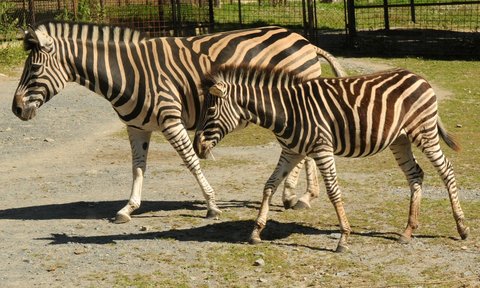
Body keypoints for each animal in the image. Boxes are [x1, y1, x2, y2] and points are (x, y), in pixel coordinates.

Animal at [11, 20, 344, 223]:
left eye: (34, 69)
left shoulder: (171, 120)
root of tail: (304, 40)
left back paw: (296, 195)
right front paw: (128, 208)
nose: (15, 109)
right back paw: (300, 196)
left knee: (303, 151)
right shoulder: (136, 127)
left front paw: (211, 205)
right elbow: (138, 168)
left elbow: (191, 162)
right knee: (304, 152)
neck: (128, 73)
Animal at [194, 64, 468, 252]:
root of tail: (418, 76)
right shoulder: (291, 151)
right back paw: (408, 231)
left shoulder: (322, 149)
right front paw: (256, 232)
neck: (286, 111)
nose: (197, 147)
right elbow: (269, 186)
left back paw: (462, 227)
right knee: (415, 175)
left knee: (447, 171)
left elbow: (333, 191)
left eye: (210, 110)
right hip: (399, 139)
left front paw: (344, 238)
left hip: (424, 132)